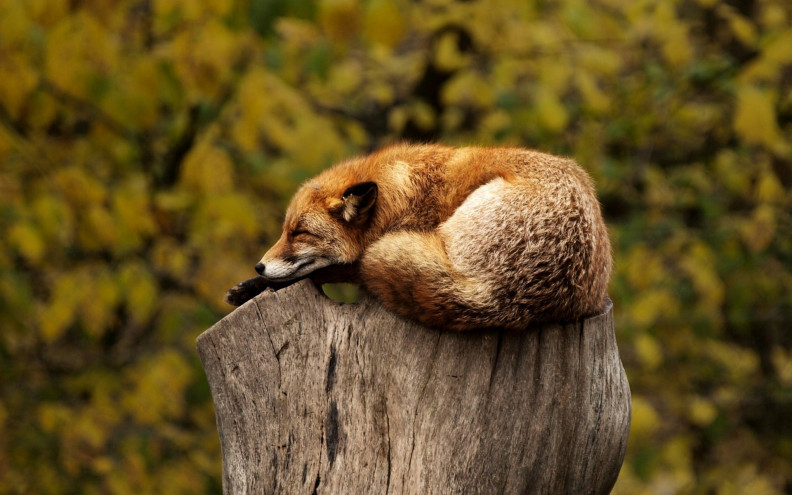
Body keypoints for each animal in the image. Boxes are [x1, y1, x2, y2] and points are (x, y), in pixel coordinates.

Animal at [229, 142, 612, 334]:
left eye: (300, 233)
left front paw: (255, 285)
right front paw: (250, 285)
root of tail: (503, 298)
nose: (259, 265)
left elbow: (328, 270)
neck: (400, 196)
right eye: (285, 231)